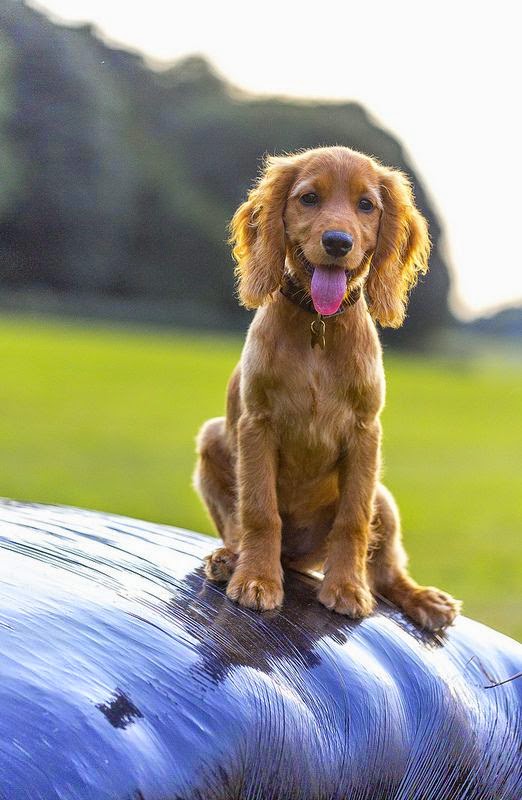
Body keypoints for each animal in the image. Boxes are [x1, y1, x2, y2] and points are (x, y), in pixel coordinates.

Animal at [193, 144, 458, 632]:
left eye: (366, 205)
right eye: (309, 198)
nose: (338, 242)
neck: (319, 324)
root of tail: (298, 559)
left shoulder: (365, 434)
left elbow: (352, 521)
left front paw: (347, 588)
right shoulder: (257, 425)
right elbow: (259, 511)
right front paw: (257, 579)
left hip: (384, 498)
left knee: (387, 572)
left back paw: (424, 599)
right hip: (211, 440)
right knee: (240, 526)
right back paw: (232, 558)